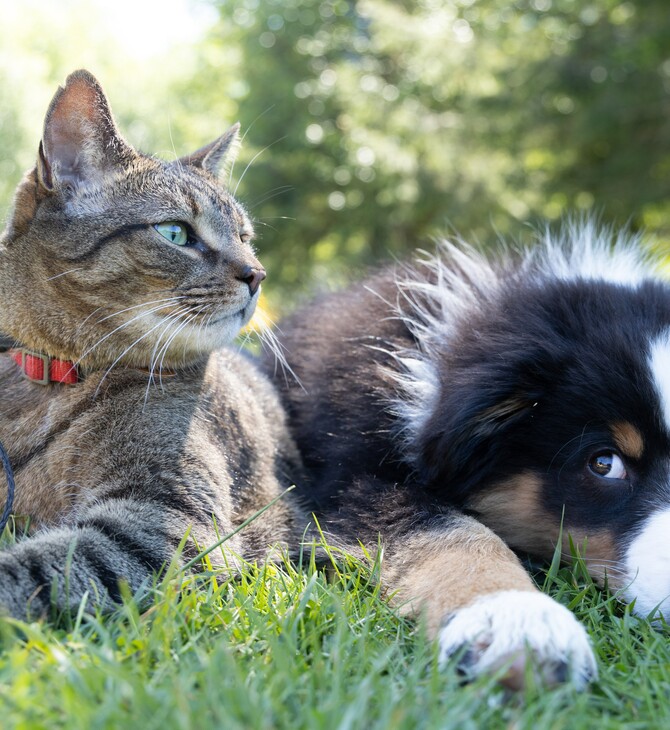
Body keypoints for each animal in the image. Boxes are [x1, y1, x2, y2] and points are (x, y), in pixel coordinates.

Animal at [0, 67, 306, 616]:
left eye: (245, 237)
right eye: (176, 233)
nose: (258, 274)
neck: (47, 380)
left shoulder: (165, 521)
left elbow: (28, 570)